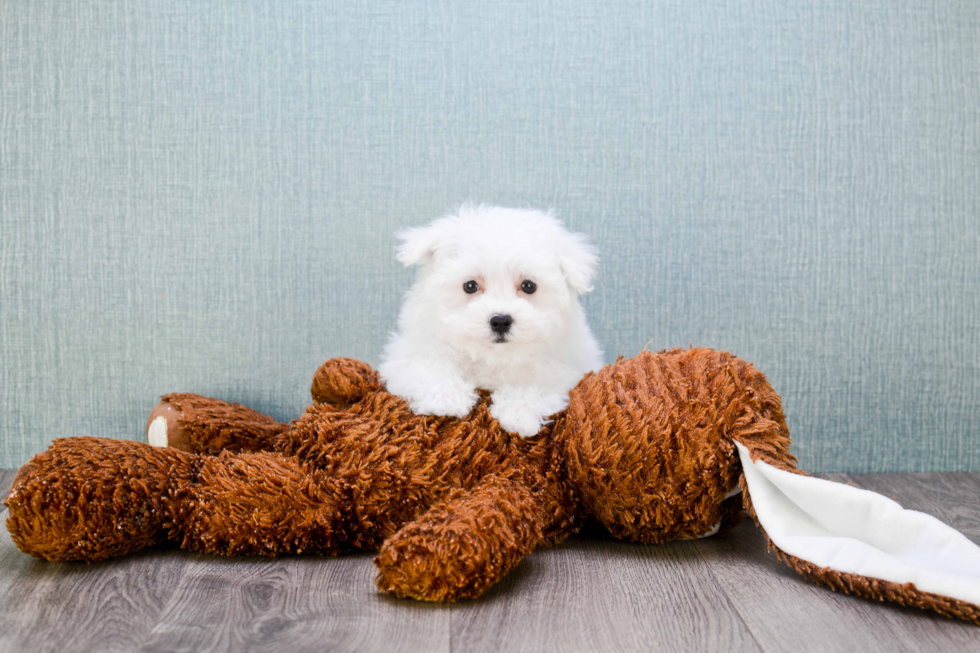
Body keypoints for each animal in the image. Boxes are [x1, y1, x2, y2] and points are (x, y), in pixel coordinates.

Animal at [378, 204, 600, 438]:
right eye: (470, 286)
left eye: (529, 286)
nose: (501, 320)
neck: (492, 356)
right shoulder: (408, 355)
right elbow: (427, 367)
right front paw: (445, 398)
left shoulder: (565, 367)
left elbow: (537, 382)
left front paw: (519, 412)